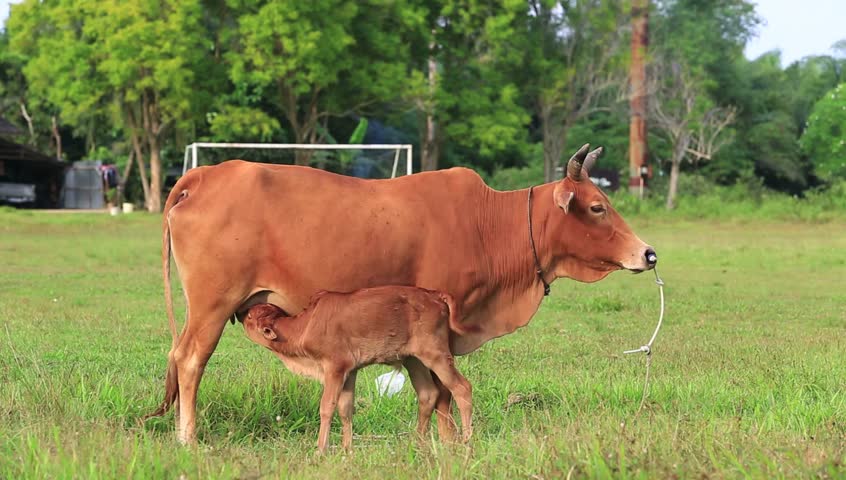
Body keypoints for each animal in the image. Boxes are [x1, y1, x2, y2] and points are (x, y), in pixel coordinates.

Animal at [240, 286, 473, 453]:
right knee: (428, 394)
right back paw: (417, 442)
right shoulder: (350, 371)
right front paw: (347, 449)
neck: (306, 325)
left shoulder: (334, 368)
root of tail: (434, 295)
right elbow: (345, 409)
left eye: (251, 317)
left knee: (462, 388)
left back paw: (466, 441)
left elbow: (327, 407)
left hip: (436, 356)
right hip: (413, 360)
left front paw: (321, 449)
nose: (244, 312)